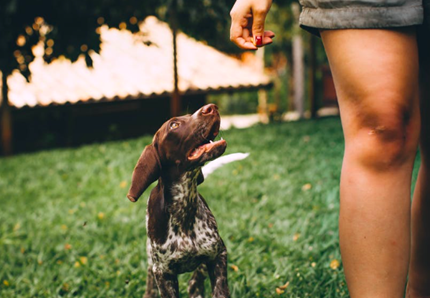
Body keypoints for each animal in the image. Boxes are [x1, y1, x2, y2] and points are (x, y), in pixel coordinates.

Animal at [127, 103, 242, 296]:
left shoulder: (218, 254)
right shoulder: (163, 273)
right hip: (151, 257)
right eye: (174, 125)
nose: (211, 107)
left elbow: (218, 289)